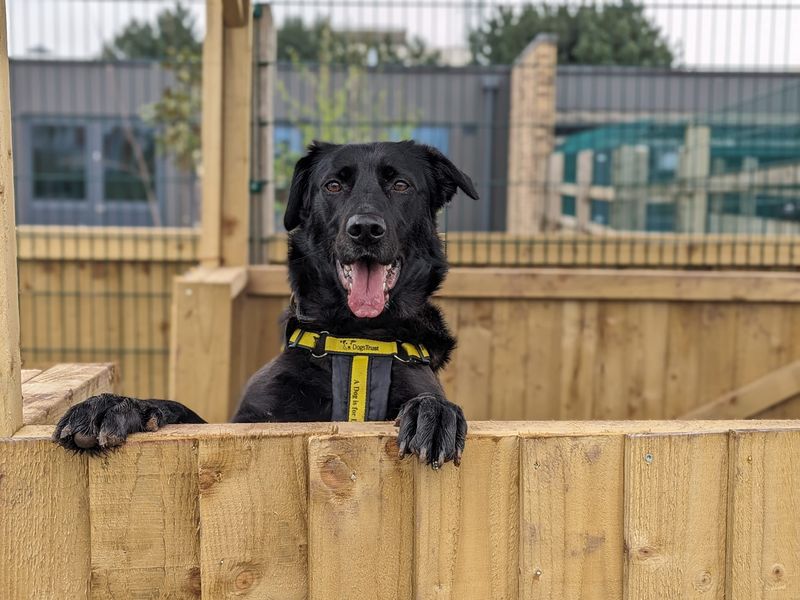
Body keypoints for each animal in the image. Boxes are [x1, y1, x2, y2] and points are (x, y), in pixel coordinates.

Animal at [57, 141, 482, 468]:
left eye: (400, 184)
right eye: (333, 185)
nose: (364, 229)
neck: (355, 343)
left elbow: (431, 401)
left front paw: (433, 412)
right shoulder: (247, 421)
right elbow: (185, 411)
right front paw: (117, 406)